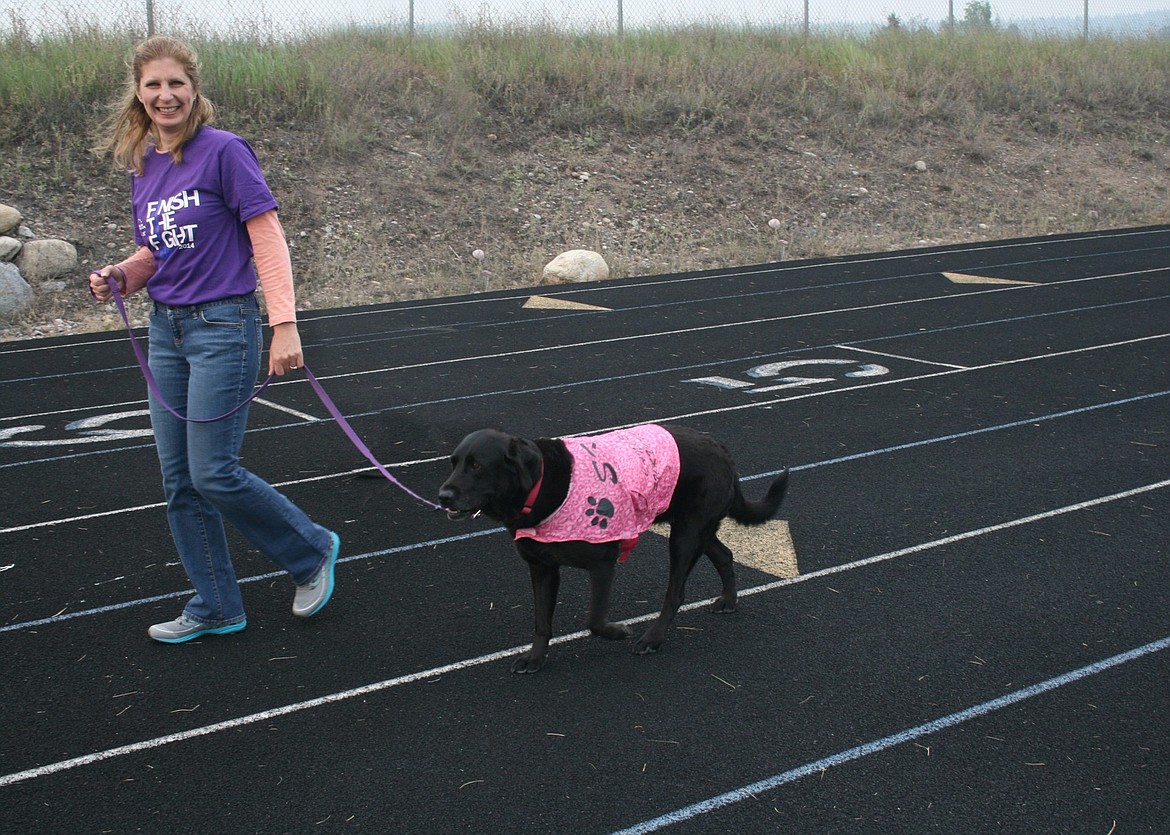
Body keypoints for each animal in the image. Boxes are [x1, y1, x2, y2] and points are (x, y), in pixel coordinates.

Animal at [437, 423, 786, 668]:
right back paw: (728, 600)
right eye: (453, 463)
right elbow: (541, 622)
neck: (542, 484)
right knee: (725, 555)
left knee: (675, 592)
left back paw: (652, 639)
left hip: (685, 536)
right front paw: (535, 659)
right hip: (695, 530)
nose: (443, 496)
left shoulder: (602, 562)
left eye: (477, 465)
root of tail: (721, 447)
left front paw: (619, 632)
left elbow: (593, 621)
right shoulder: (542, 569)